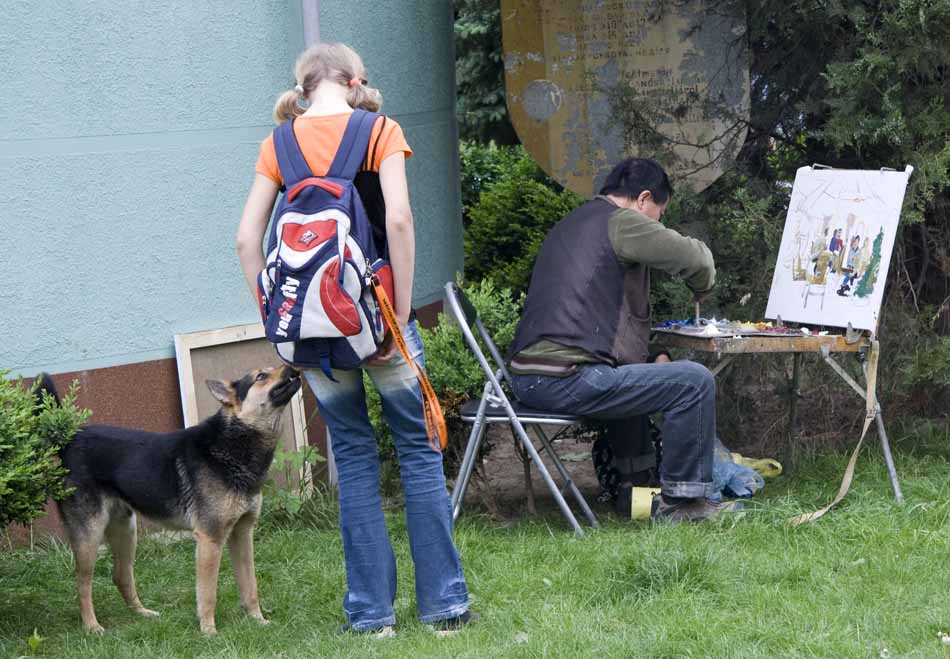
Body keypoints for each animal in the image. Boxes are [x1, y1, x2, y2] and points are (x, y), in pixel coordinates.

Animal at [36, 366, 302, 636]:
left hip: (126, 531)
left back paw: (142, 613)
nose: (292, 367)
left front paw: (258, 620)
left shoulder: (242, 533)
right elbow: (208, 593)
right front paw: (209, 631)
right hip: (90, 536)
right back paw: (92, 626)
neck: (234, 441)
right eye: (261, 376)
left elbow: (250, 585)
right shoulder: (210, 539)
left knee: (120, 575)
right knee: (82, 584)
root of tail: (71, 439)